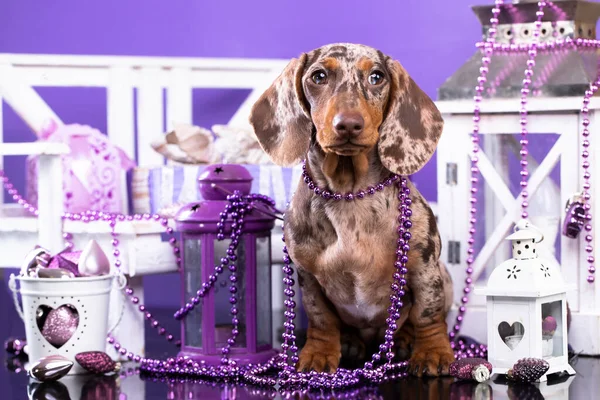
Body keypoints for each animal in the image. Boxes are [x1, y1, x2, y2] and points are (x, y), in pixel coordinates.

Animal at [250, 43, 454, 376]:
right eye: (319, 76)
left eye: (377, 76)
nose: (348, 124)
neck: (351, 194)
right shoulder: (307, 276)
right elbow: (322, 319)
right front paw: (319, 353)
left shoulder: (424, 267)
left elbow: (427, 314)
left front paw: (432, 352)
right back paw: (349, 342)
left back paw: (404, 340)